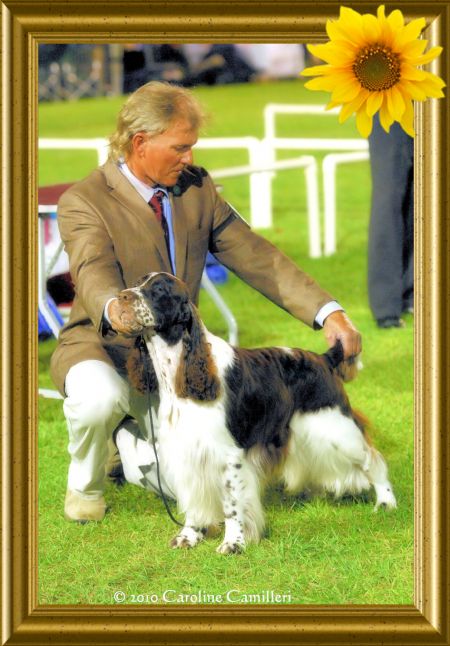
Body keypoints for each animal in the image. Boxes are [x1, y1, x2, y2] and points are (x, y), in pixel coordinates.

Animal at [117, 270, 398, 556]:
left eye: (159, 289)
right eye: (137, 282)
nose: (121, 296)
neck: (180, 371)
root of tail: (324, 359)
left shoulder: (228, 455)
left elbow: (232, 505)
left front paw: (233, 543)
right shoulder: (185, 452)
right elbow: (193, 502)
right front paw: (189, 536)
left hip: (335, 428)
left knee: (372, 459)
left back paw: (386, 502)